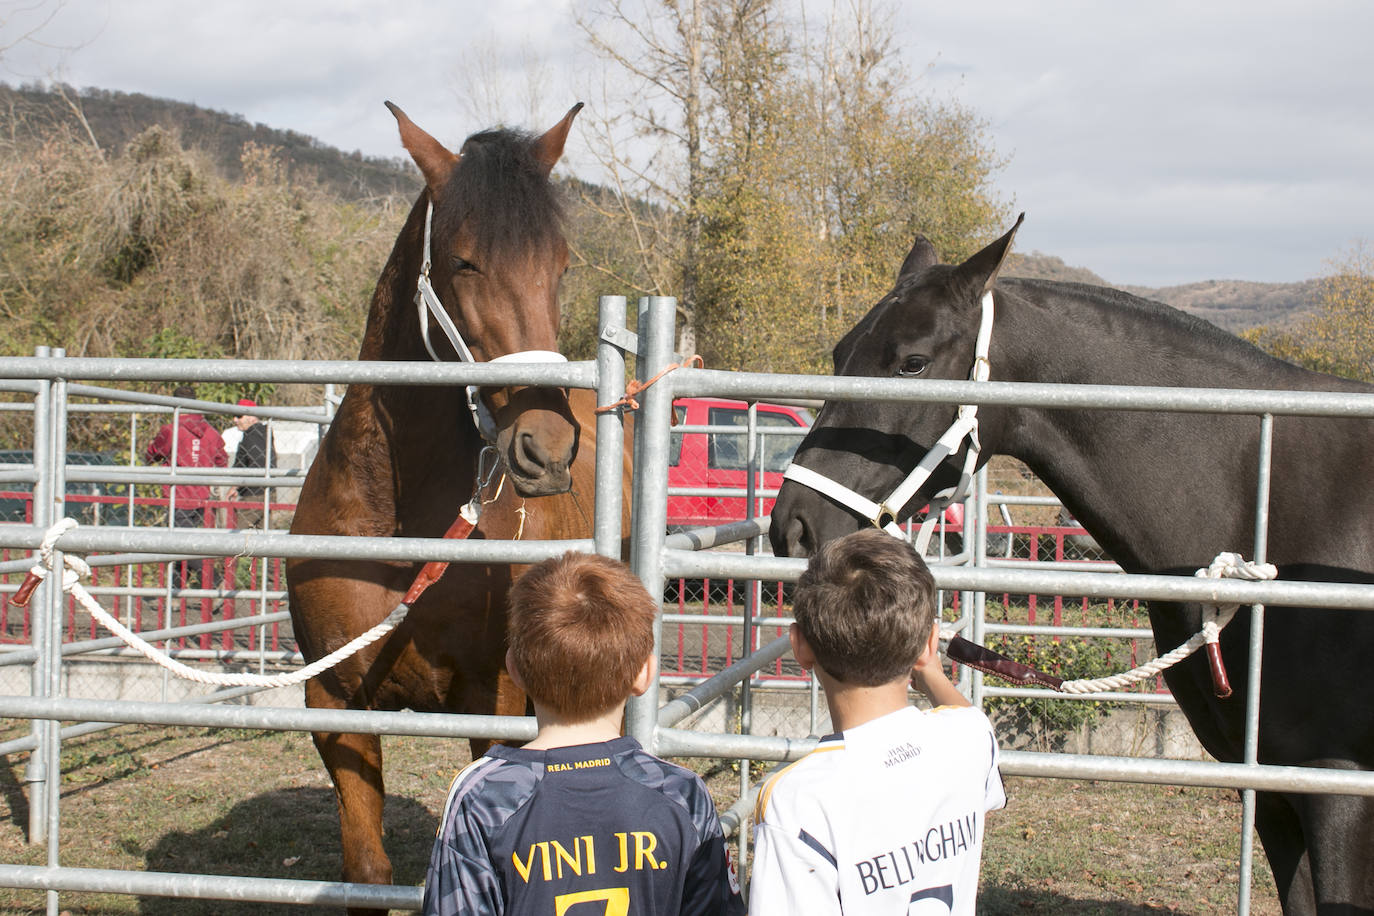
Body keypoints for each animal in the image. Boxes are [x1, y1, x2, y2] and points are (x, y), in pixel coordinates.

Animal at [292, 103, 629, 911]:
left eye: (561, 265)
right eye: (465, 261)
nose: (546, 448)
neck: (395, 523)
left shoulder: (496, 703)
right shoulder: (335, 707)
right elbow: (367, 870)